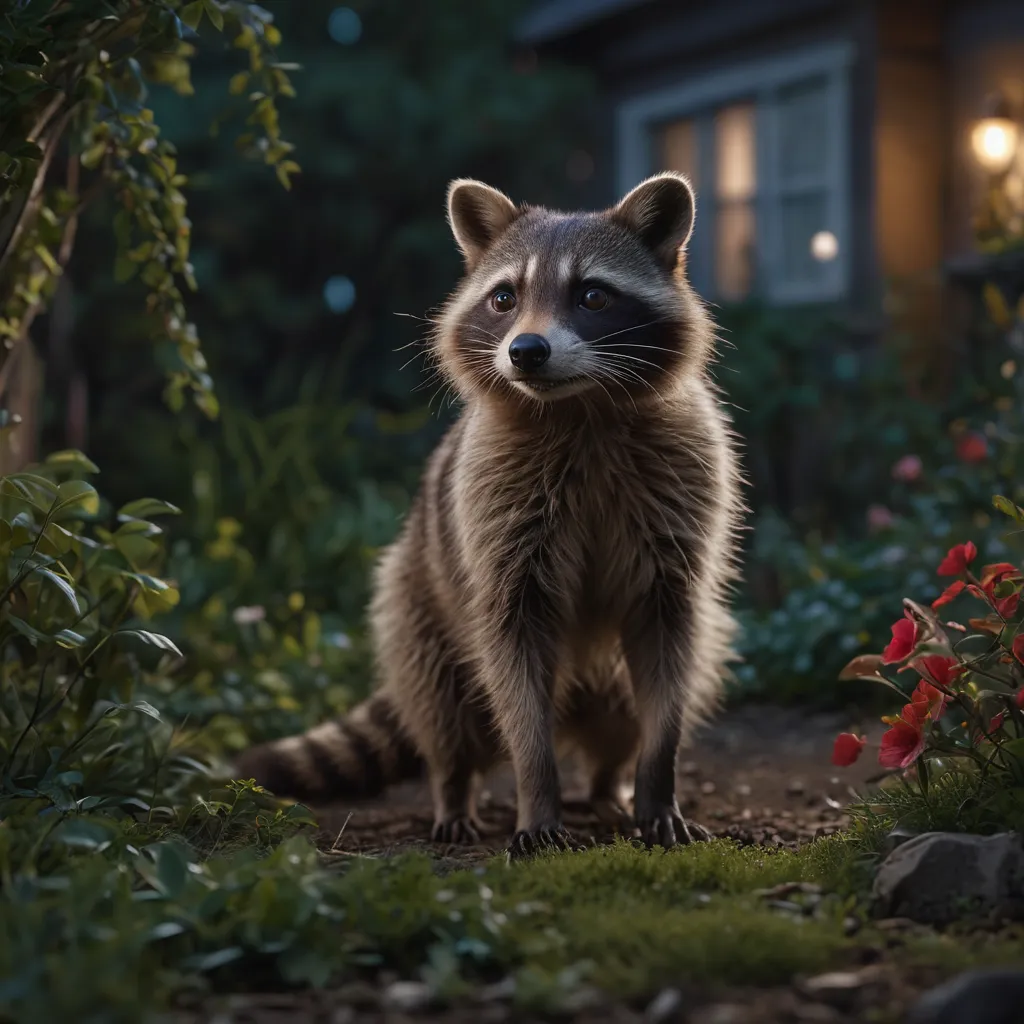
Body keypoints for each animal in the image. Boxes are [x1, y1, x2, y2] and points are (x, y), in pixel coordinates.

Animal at [234, 172, 743, 858]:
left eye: (593, 295)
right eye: (504, 297)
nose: (526, 350)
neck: (581, 409)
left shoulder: (682, 495)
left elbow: (670, 649)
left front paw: (658, 781)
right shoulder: (498, 517)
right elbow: (513, 663)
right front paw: (536, 790)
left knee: (628, 709)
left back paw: (611, 781)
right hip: (419, 605)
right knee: (444, 710)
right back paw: (453, 789)